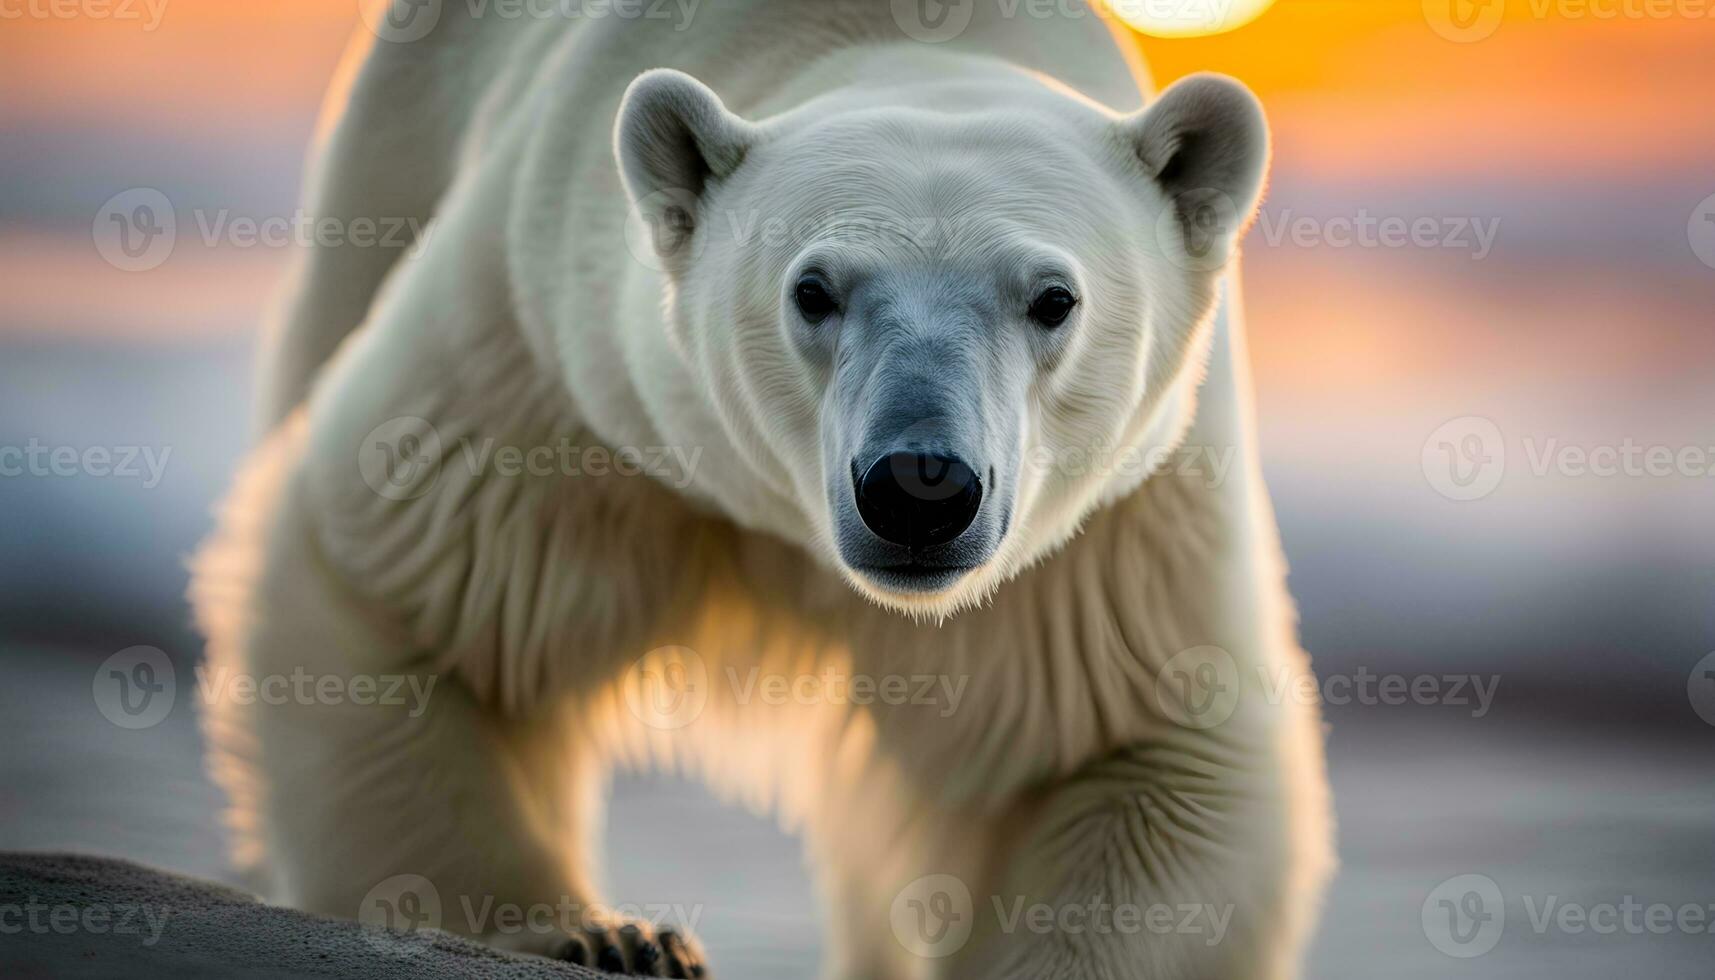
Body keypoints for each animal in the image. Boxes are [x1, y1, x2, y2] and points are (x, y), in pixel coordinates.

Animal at [194, 0, 1330, 974]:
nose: (918, 485)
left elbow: (1130, 741)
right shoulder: (560, 377)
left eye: (1053, 298)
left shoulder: (1107, 523)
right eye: (813, 290)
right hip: (386, 171)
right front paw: (602, 936)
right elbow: (414, 604)